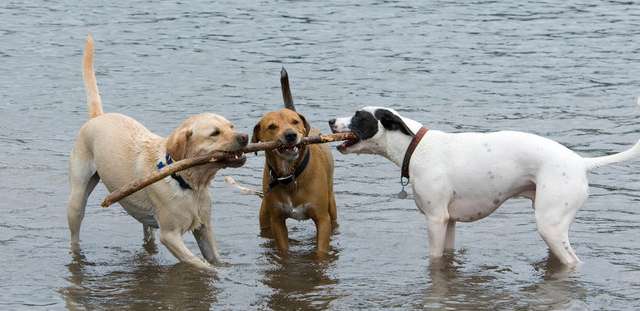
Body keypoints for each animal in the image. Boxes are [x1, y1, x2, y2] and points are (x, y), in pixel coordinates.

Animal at [67, 36, 248, 270]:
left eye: (231, 126)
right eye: (215, 133)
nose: (245, 137)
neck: (188, 182)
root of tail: (98, 117)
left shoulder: (205, 229)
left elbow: (214, 258)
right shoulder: (170, 236)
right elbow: (201, 265)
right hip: (77, 197)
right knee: (75, 231)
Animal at [252, 109, 338, 256]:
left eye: (295, 121)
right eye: (272, 126)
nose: (291, 135)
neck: (291, 176)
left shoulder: (322, 219)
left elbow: (320, 251)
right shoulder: (277, 220)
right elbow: (283, 250)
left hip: (331, 205)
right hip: (264, 214)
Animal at [330, 105, 640, 266]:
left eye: (359, 116)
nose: (331, 119)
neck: (415, 147)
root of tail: (580, 162)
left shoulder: (435, 220)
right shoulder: (449, 222)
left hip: (551, 226)